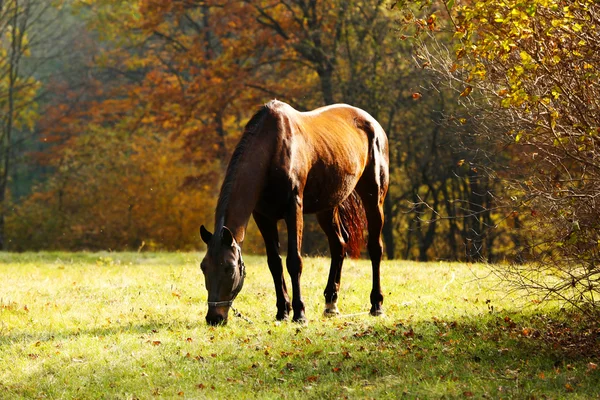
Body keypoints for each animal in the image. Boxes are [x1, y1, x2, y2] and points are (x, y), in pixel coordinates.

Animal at [199, 99, 392, 324]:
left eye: (229, 268)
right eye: (204, 267)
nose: (214, 317)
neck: (272, 149)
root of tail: (373, 124)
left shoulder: (294, 210)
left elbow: (294, 261)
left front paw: (299, 313)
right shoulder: (263, 217)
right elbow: (274, 263)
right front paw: (283, 311)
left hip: (374, 199)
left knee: (375, 248)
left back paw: (376, 305)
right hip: (327, 208)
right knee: (338, 245)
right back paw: (331, 304)